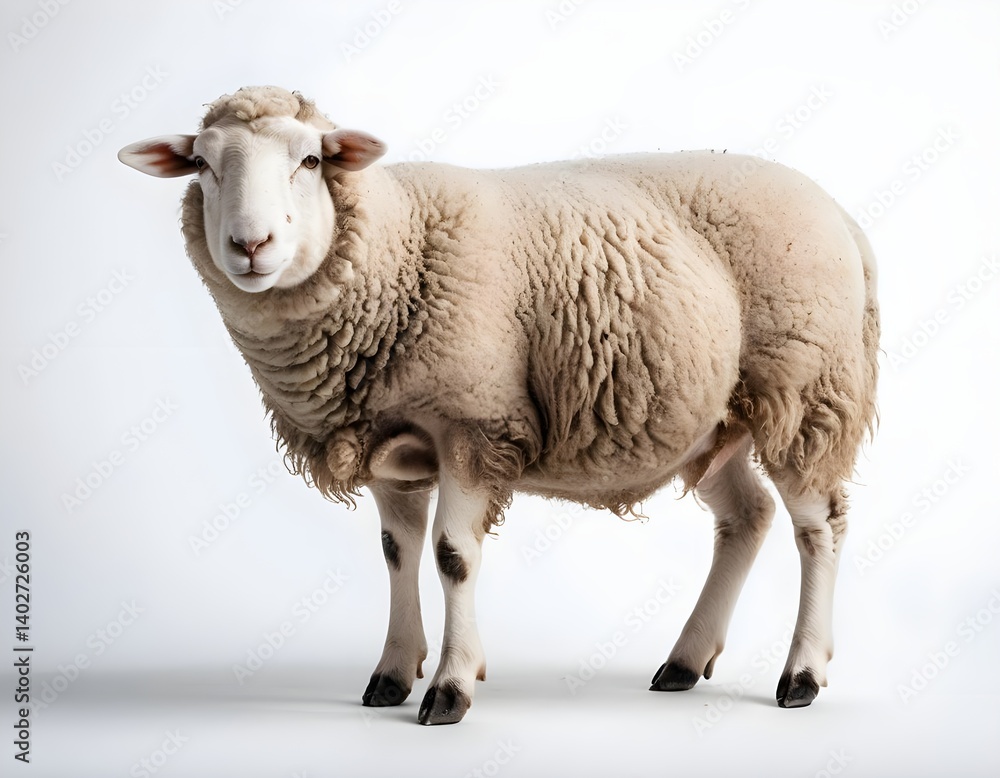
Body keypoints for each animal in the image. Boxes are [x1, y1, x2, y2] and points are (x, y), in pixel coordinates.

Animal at [118, 85, 879, 726]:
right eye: (202, 165)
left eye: (309, 159)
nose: (250, 245)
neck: (396, 247)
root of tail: (840, 213)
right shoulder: (393, 444)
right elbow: (397, 553)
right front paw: (391, 674)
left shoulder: (473, 423)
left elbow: (452, 556)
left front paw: (450, 688)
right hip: (710, 419)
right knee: (746, 518)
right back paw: (686, 661)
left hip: (805, 389)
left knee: (819, 528)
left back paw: (802, 674)